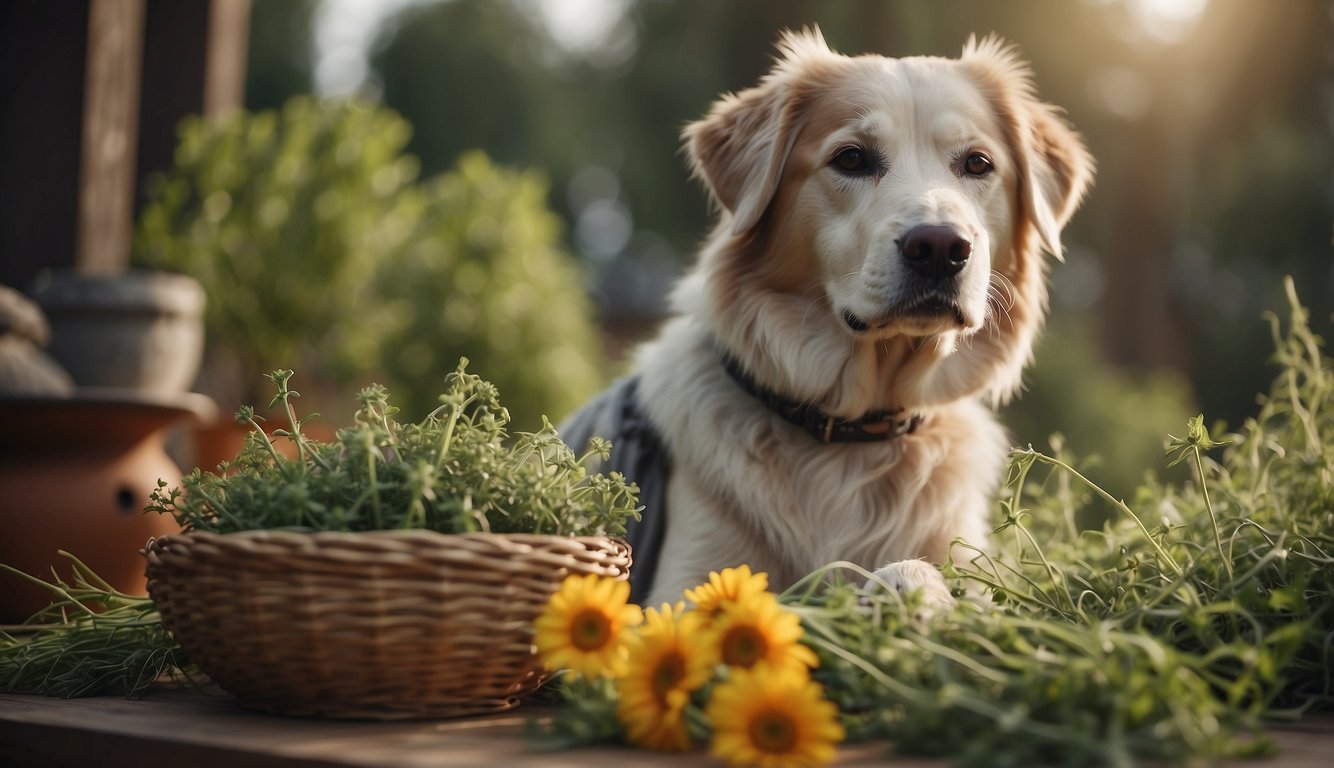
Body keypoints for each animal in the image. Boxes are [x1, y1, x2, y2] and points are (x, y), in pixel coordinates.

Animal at [562, 28, 1093, 605]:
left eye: (977, 163)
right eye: (852, 158)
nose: (939, 248)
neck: (855, 439)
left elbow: (931, 574)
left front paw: (908, 586)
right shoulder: (677, 591)